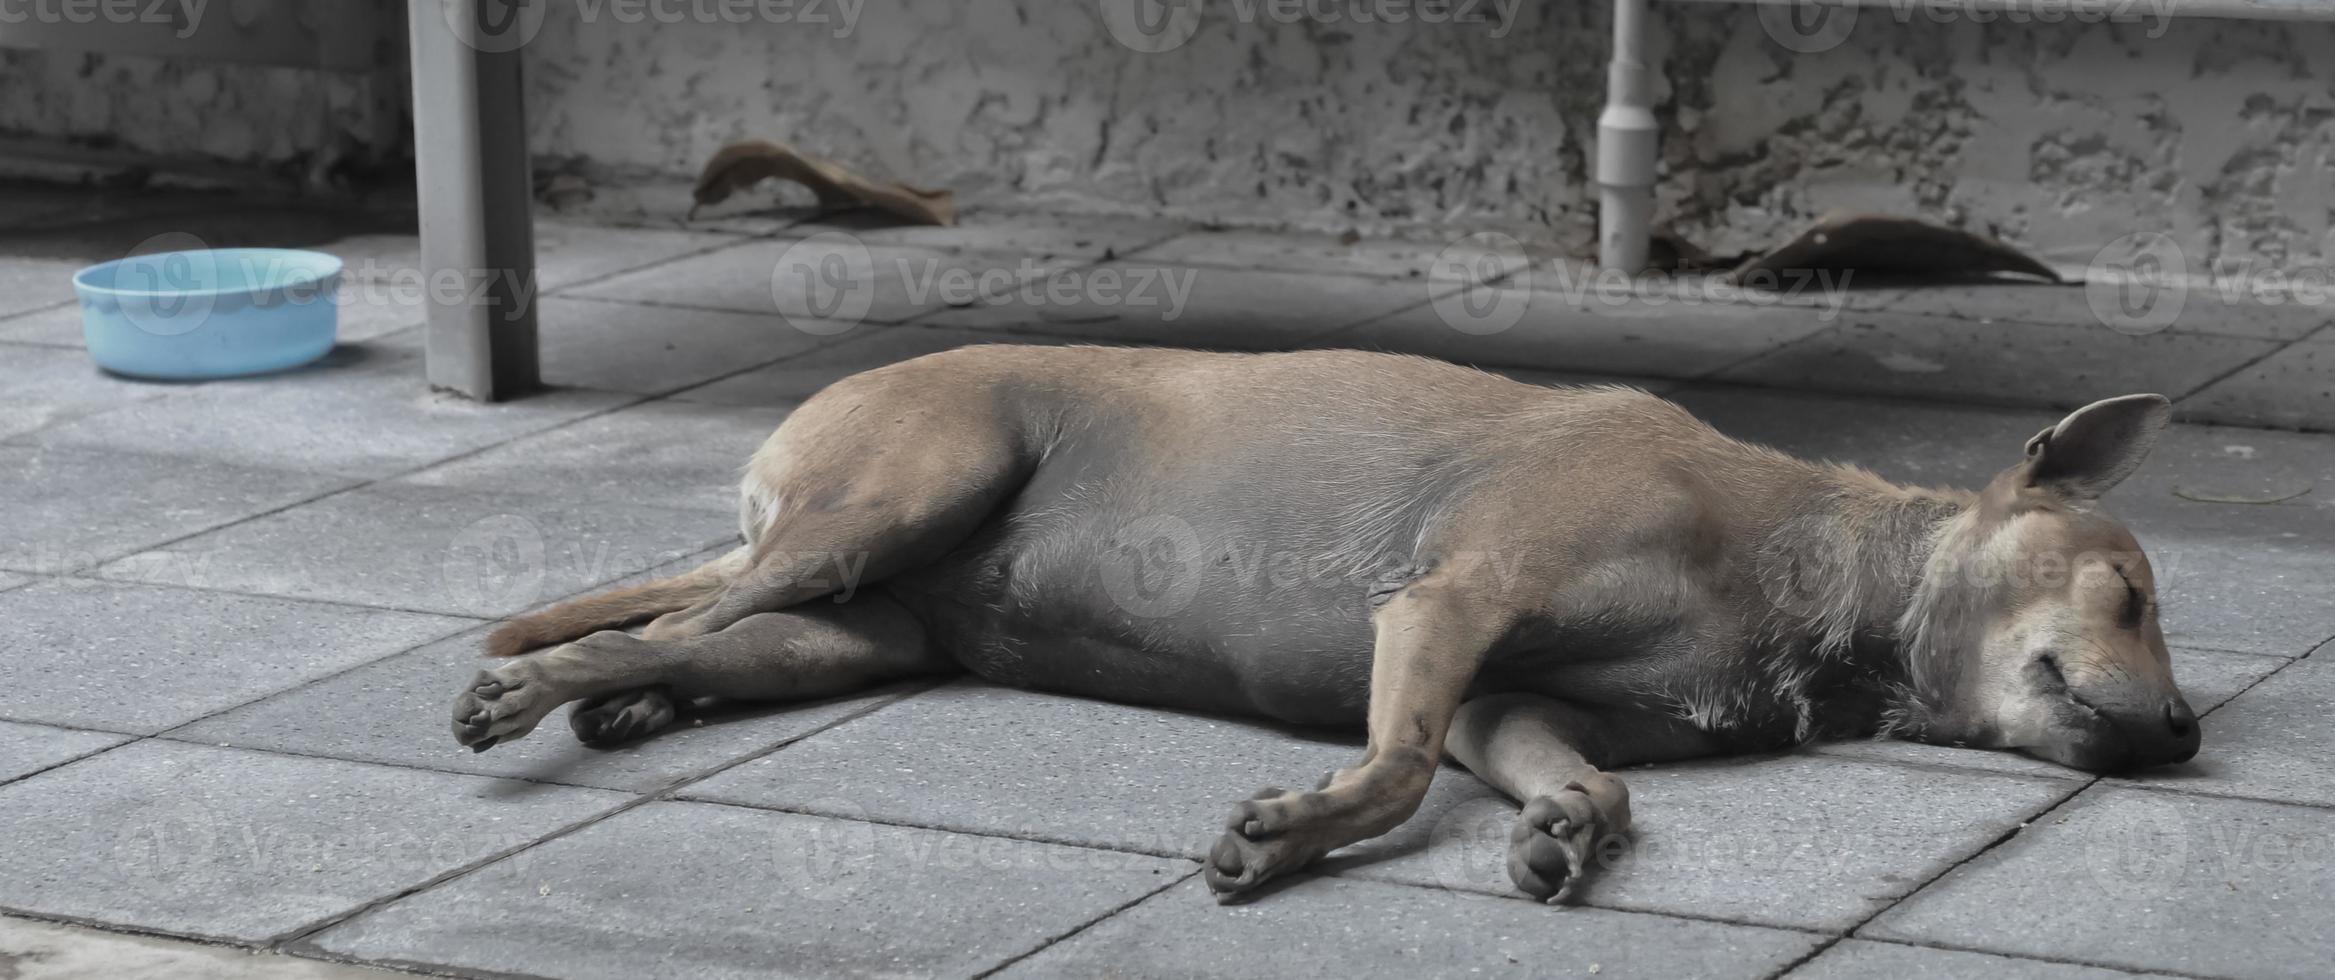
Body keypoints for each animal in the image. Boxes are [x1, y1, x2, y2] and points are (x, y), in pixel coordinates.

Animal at [445, 345, 2194, 905]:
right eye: (2130, 594)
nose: (2183, 731)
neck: (1814, 584)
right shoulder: (1445, 606)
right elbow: (1397, 766)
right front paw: (1284, 835)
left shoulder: (1504, 698)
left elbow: (1578, 777)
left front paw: (1567, 828)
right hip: (892, 501)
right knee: (659, 613)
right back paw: (538, 693)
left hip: (859, 623)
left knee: (695, 632)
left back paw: (633, 705)